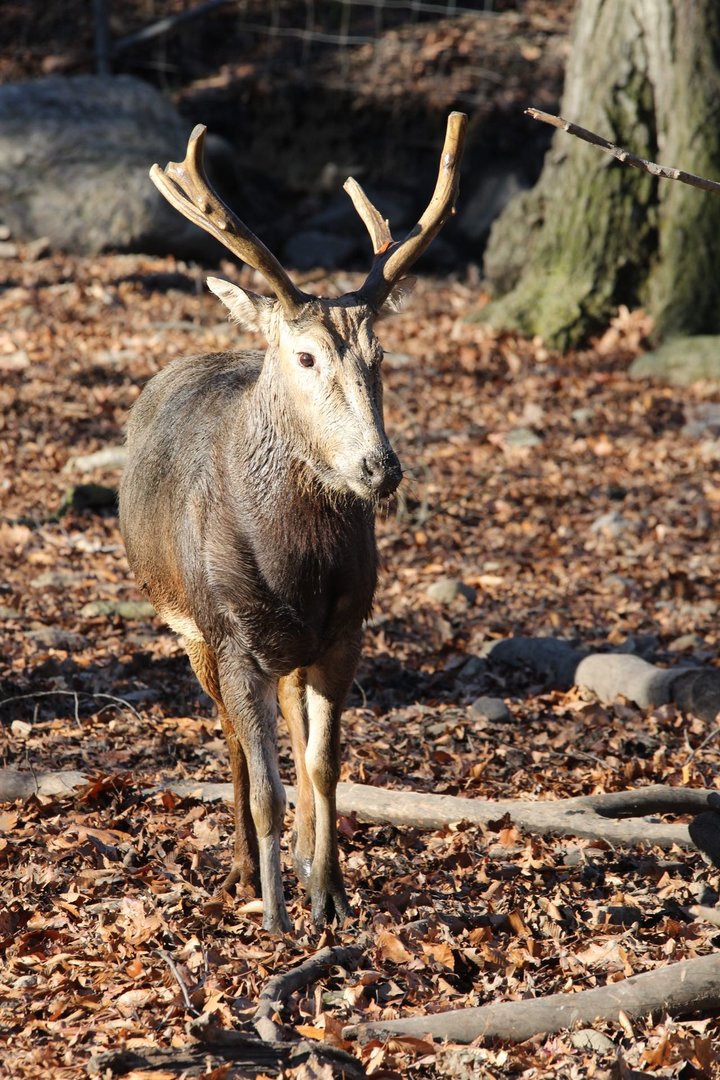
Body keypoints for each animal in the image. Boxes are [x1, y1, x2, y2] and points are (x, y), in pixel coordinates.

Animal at [119, 113, 467, 934]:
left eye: (381, 354)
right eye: (306, 356)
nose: (379, 467)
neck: (293, 563)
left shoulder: (345, 629)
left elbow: (323, 762)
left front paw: (329, 892)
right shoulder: (228, 632)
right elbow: (267, 777)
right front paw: (278, 915)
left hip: (286, 647)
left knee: (291, 733)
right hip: (190, 629)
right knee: (232, 746)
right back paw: (247, 868)